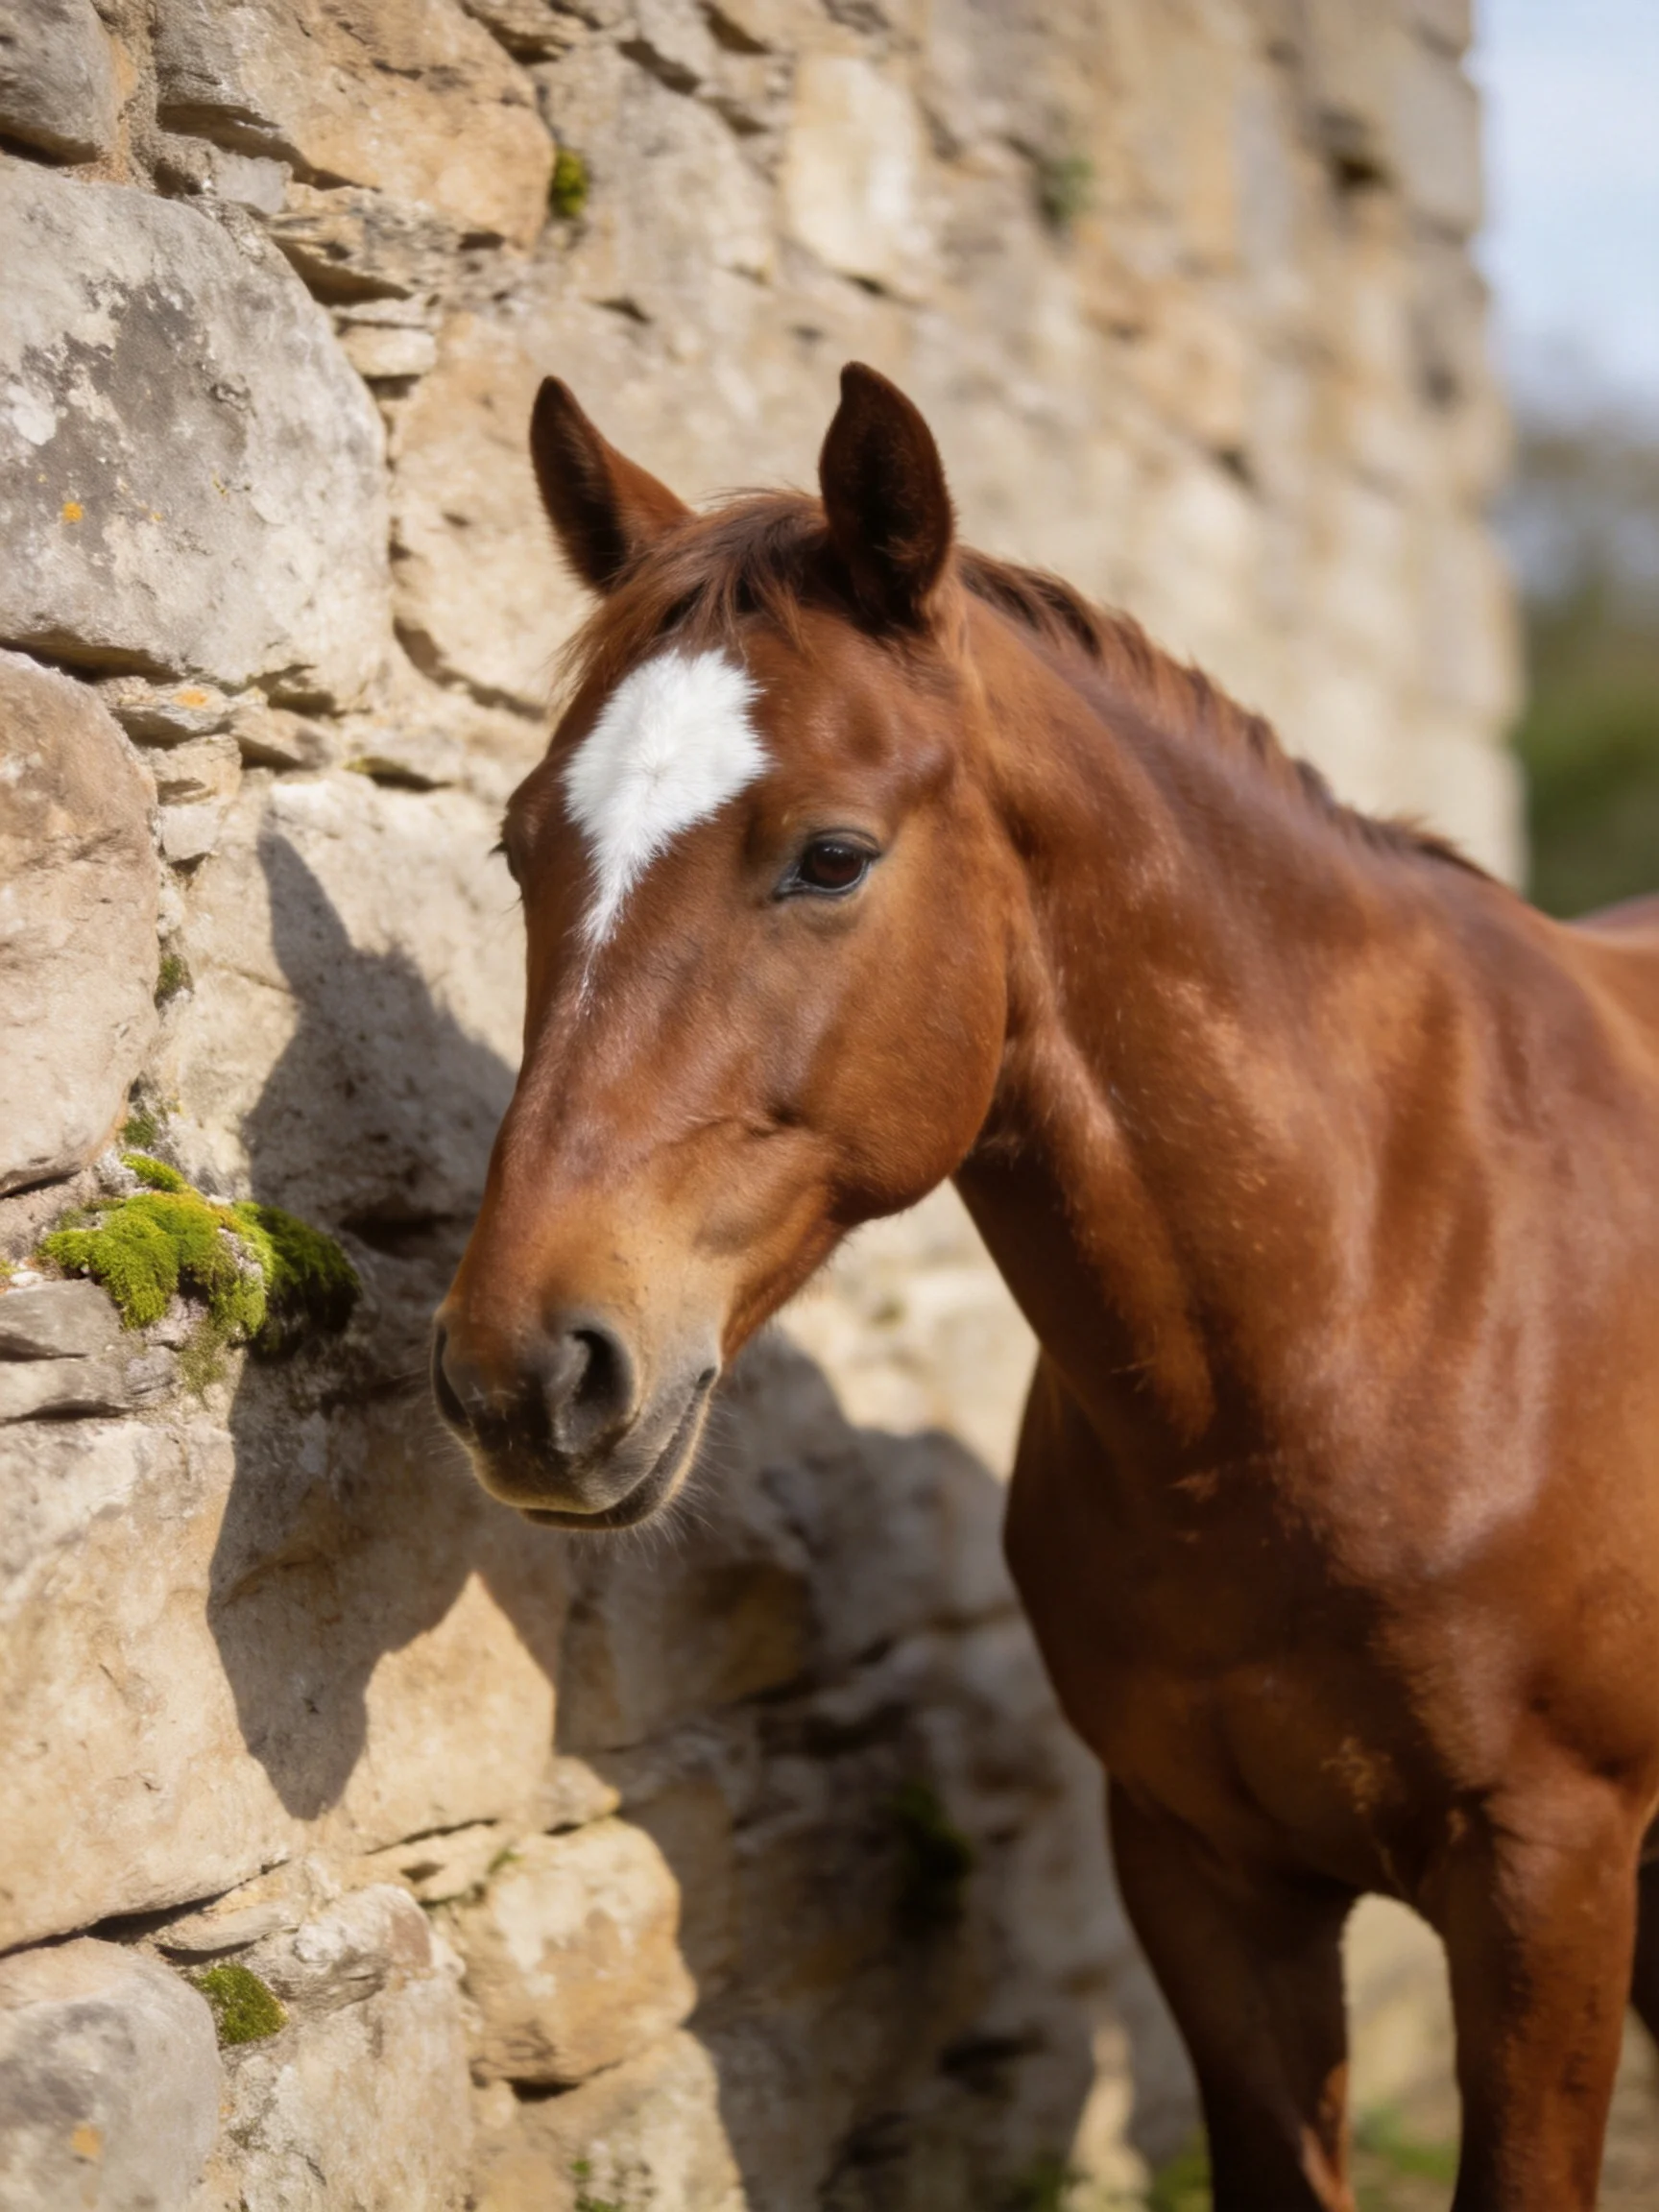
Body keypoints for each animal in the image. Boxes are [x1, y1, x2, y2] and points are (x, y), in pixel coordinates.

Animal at [433, 362, 1659, 2210]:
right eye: (520, 850)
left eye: (831, 856)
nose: (524, 1374)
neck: (1378, 1305)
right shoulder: (1199, 1870)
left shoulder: (1550, 1873)